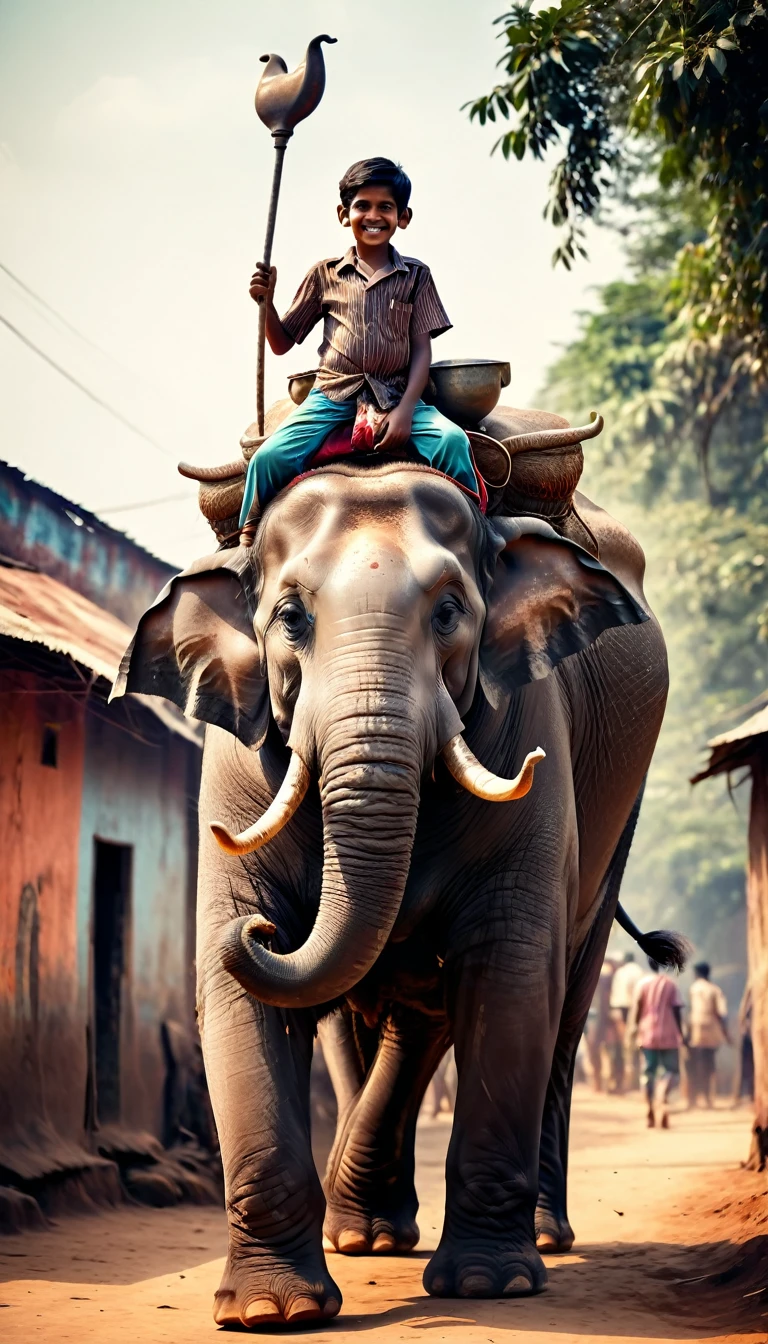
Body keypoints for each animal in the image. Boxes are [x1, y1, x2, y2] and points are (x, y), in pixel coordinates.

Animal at [112, 403, 685, 1327]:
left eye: (450, 611)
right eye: (290, 618)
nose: (265, 928)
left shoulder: (530, 727)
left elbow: (508, 970)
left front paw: (488, 1285)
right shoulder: (233, 761)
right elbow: (235, 991)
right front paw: (272, 1312)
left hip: (618, 818)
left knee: (558, 999)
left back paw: (536, 1235)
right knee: (385, 1015)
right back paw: (366, 1233)